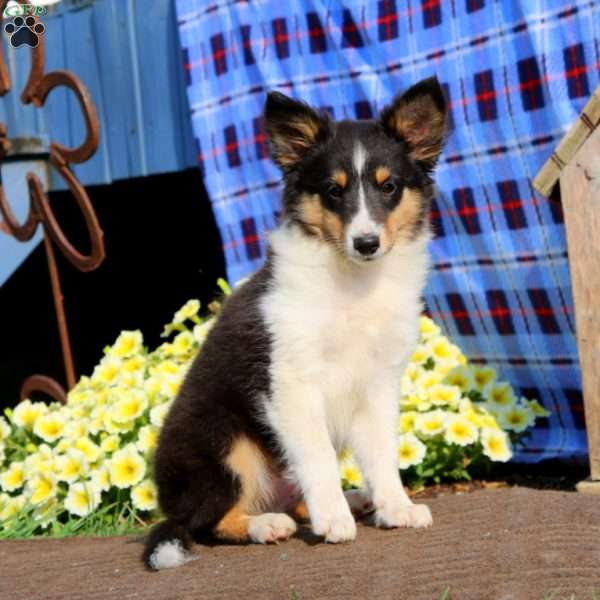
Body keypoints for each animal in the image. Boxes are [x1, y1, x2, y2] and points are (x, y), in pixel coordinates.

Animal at [143, 77, 448, 568]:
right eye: (332, 190)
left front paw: (396, 507)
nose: (366, 243)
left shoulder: (378, 383)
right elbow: (318, 456)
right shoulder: (291, 382)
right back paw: (266, 524)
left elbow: (382, 454)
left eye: (389, 187)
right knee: (204, 520)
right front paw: (334, 522)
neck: (353, 282)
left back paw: (354, 499)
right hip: (227, 442)